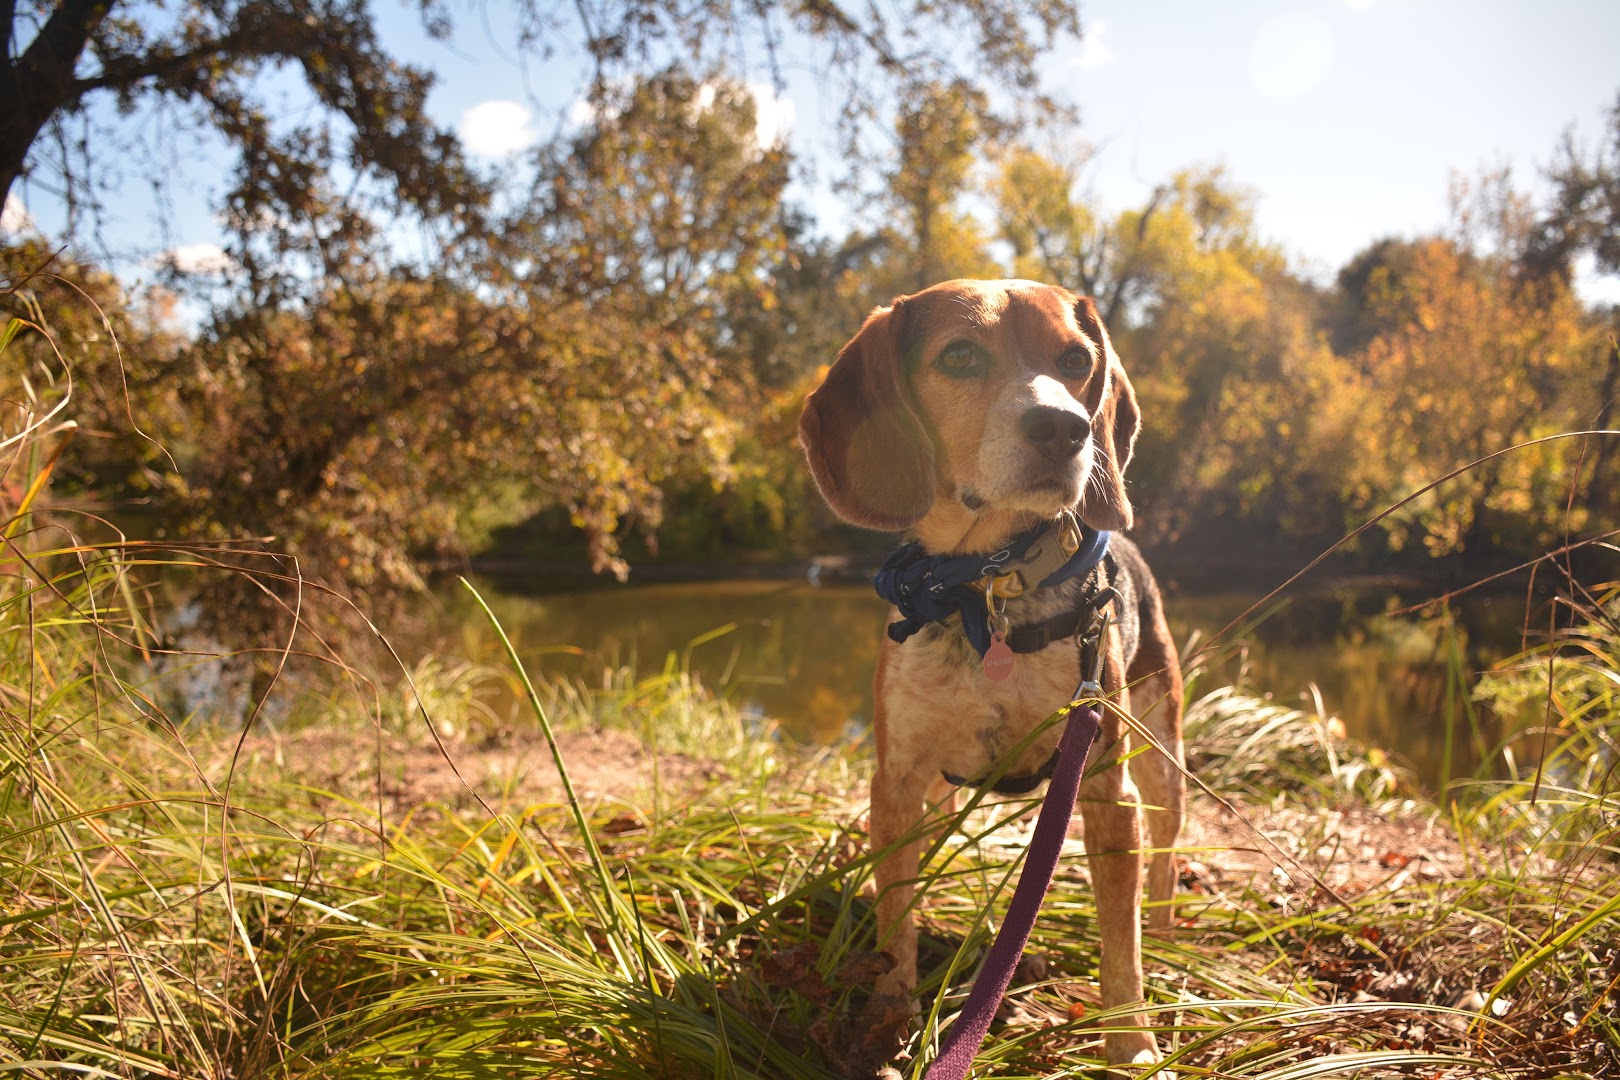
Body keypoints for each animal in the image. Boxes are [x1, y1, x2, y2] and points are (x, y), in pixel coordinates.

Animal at [803, 278, 1185, 1075]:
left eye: (1077, 361)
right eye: (960, 356)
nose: (1067, 429)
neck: (986, 590)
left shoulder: (1107, 790)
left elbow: (1121, 943)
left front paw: (1131, 1042)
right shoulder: (897, 781)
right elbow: (896, 917)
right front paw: (889, 1015)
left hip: (1160, 755)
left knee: (1167, 854)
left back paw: (1170, 935)